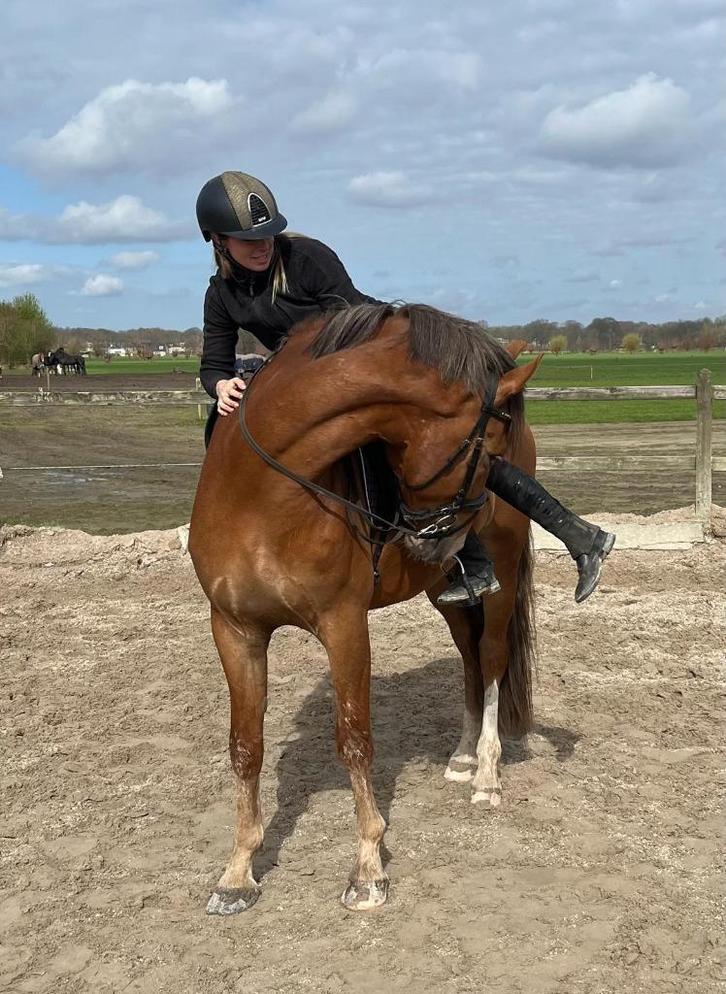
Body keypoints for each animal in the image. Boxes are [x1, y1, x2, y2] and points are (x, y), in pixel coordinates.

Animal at [188, 302, 541, 915]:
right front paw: (237, 872)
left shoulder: (344, 624)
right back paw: (462, 756)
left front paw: (368, 867)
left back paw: (487, 774)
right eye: (488, 452)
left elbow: (354, 740)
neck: (262, 490)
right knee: (470, 660)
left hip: (500, 578)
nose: (447, 543)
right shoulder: (235, 629)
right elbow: (245, 746)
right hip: (445, 596)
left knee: (493, 658)